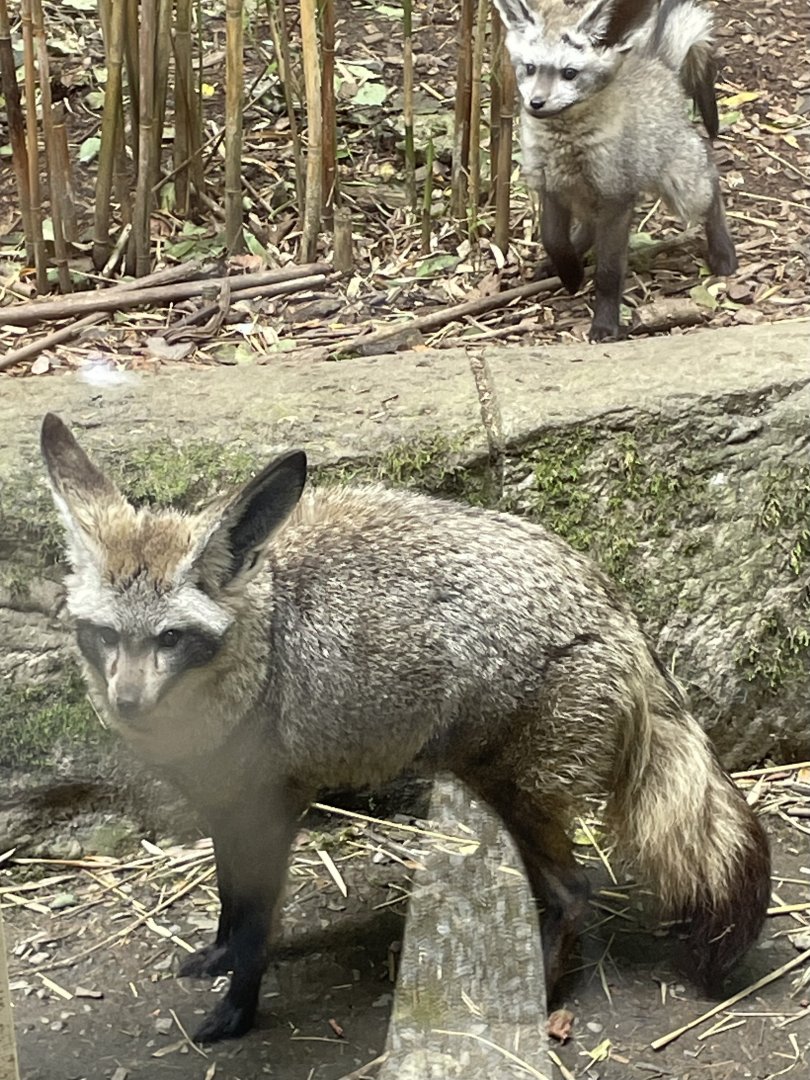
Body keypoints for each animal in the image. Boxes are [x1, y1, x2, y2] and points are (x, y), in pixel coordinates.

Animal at [40, 413, 770, 1044]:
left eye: (171, 639)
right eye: (105, 635)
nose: (127, 703)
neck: (263, 650)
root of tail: (610, 601)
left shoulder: (274, 809)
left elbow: (255, 932)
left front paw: (237, 1010)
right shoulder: (226, 805)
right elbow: (229, 899)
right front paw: (217, 956)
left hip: (511, 790)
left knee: (575, 891)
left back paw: (535, 996)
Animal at [493, 0, 738, 341]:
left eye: (569, 73)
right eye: (530, 68)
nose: (536, 103)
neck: (566, 150)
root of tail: (656, 62)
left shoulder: (617, 200)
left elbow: (608, 274)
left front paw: (605, 323)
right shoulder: (551, 189)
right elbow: (554, 240)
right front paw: (570, 273)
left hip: (683, 192)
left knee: (713, 184)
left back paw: (723, 252)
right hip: (588, 199)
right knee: (585, 229)